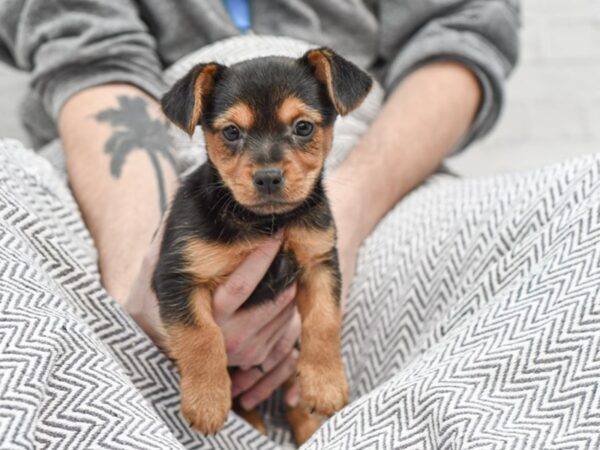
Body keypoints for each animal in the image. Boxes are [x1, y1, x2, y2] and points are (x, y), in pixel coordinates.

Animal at [152, 48, 372, 442]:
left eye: (303, 127)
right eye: (231, 132)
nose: (268, 177)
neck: (265, 222)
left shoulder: (319, 262)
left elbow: (323, 321)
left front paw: (326, 384)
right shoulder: (177, 276)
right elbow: (201, 336)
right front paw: (207, 402)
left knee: (291, 394)